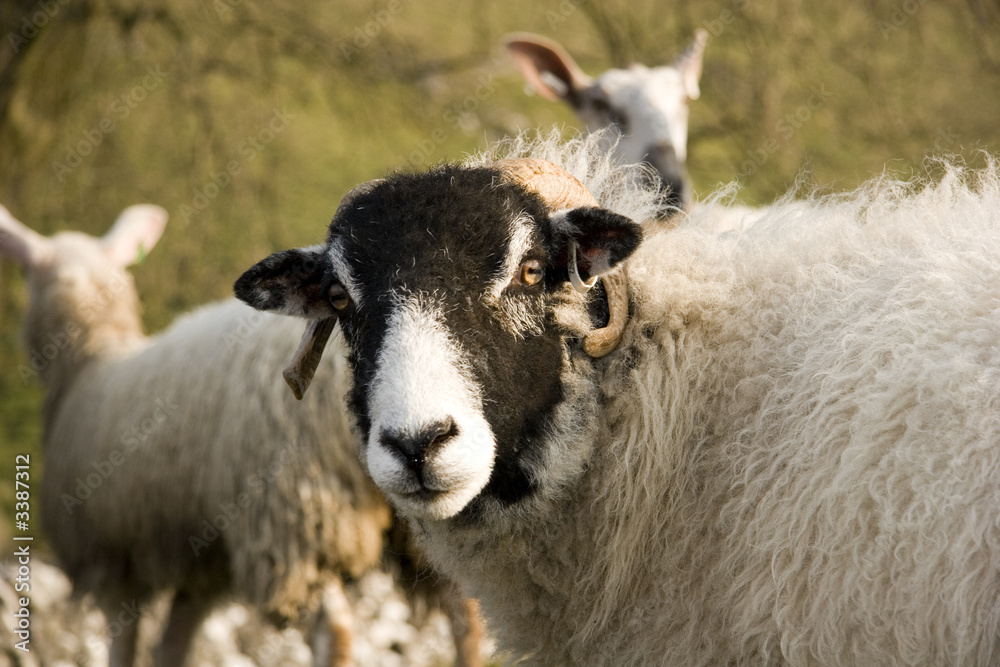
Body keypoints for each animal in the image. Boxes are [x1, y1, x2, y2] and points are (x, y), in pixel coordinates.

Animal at [0, 205, 484, 667]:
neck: (91, 360)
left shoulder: (114, 562)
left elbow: (125, 645)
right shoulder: (199, 566)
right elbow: (172, 645)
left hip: (291, 513)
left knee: (334, 631)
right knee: (469, 614)